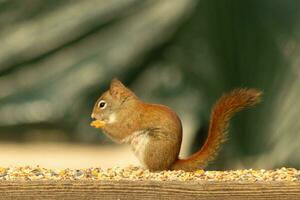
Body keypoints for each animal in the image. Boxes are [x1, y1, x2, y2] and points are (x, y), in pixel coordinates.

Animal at [90, 79, 262, 171]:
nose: (92, 116)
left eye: (102, 104)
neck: (124, 106)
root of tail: (172, 161)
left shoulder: (130, 119)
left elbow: (118, 132)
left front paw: (98, 123)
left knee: (156, 168)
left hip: (152, 146)